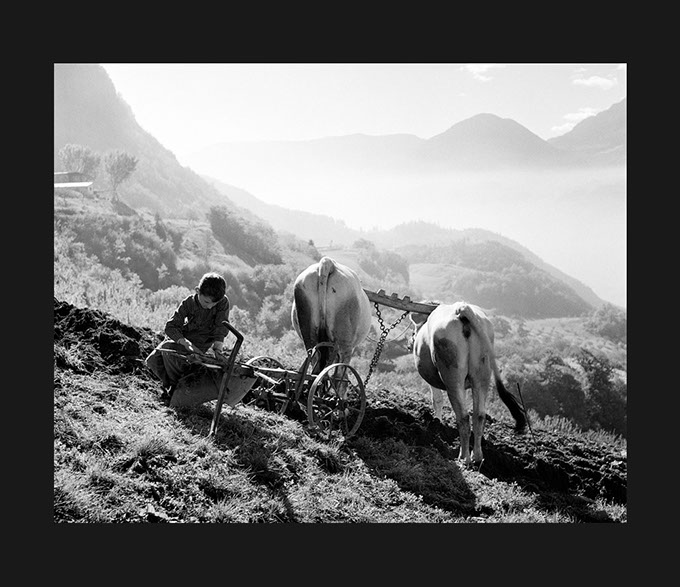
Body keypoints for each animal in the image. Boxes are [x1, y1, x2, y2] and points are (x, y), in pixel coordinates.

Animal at [410, 304, 524, 464]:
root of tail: (461, 308)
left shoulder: (433, 379)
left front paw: (437, 422)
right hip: (482, 374)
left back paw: (464, 457)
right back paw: (477, 457)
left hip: (452, 375)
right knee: (479, 415)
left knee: (463, 417)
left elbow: (437, 400)